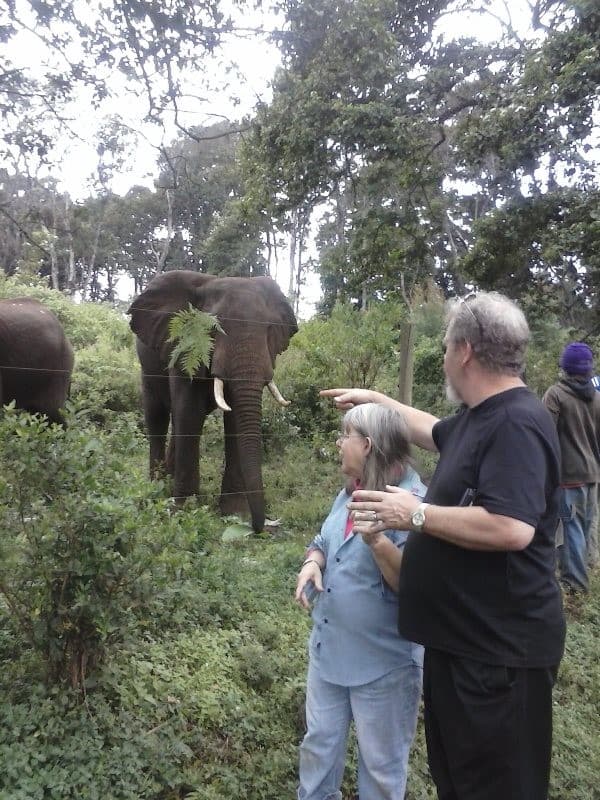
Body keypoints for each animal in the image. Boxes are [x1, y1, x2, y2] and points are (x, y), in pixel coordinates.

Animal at [128, 268, 298, 532]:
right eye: (214, 328)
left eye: (270, 330)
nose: (258, 527)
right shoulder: (183, 346)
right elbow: (189, 412)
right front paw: (184, 511)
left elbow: (234, 421)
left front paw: (235, 514)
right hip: (148, 365)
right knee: (157, 417)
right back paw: (157, 487)